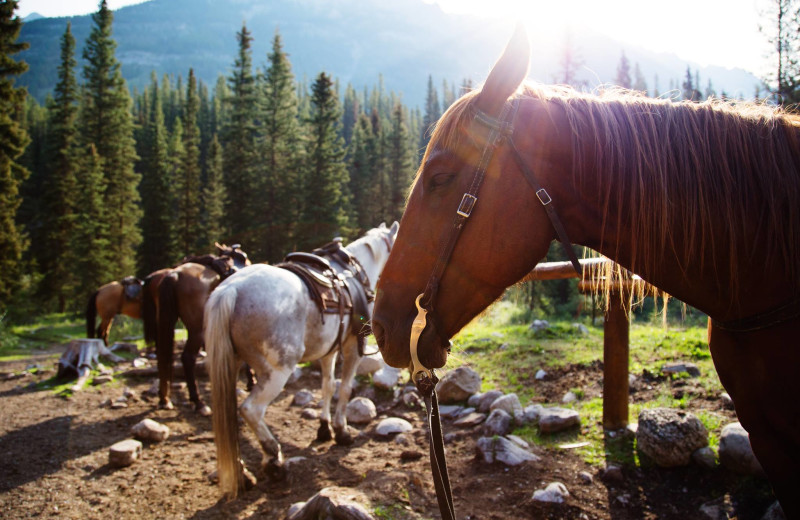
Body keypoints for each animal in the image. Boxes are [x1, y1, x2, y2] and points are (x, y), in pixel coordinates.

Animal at [153, 243, 247, 414]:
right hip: (196, 330)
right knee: (187, 358)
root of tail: (174, 276)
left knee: (162, 355)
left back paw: (164, 399)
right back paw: (198, 401)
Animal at [203, 221, 396, 498]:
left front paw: (324, 428)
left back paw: (243, 475)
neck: (355, 272)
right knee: (251, 410)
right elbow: (345, 388)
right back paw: (274, 462)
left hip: (230, 365)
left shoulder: (329, 351)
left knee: (228, 416)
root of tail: (230, 290)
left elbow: (327, 386)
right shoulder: (352, 348)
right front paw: (341, 430)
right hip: (277, 372)